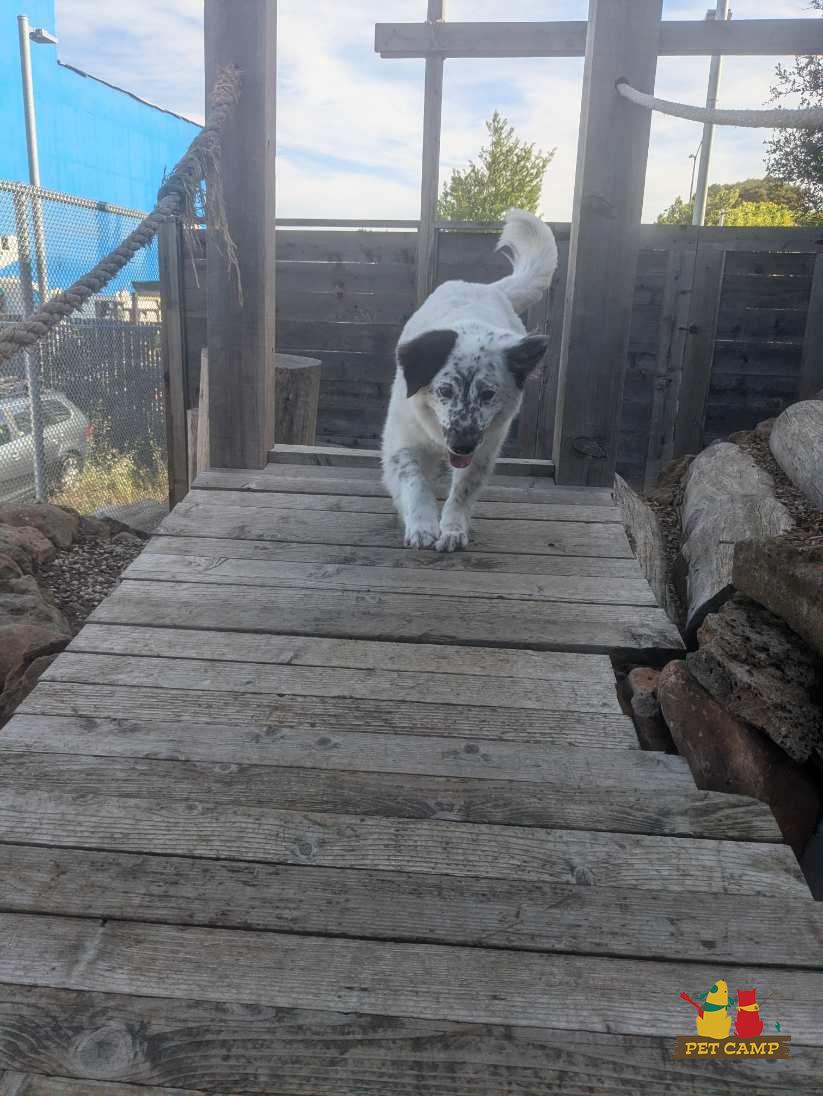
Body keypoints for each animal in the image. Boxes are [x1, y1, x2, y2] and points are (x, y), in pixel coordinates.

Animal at [381, 208, 558, 551]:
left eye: (488, 394)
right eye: (445, 390)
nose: (462, 445)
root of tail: (488, 287)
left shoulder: (484, 449)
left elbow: (462, 491)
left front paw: (452, 529)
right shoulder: (402, 442)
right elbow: (414, 481)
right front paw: (422, 525)